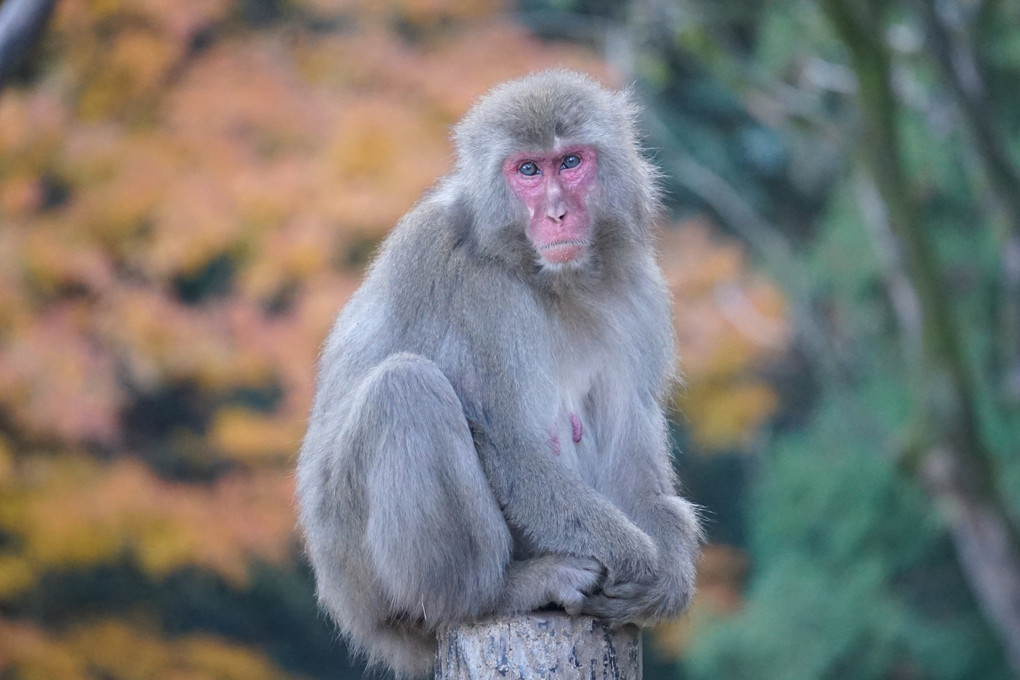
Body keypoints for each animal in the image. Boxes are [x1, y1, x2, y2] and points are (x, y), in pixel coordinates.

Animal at [297, 69, 701, 676]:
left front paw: (668, 576)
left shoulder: (638, 292)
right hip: (360, 575)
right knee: (405, 389)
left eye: (570, 162)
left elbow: (632, 448)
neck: (546, 277)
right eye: (528, 170)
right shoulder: (464, 281)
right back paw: (489, 593)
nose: (558, 214)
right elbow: (505, 439)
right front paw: (640, 560)